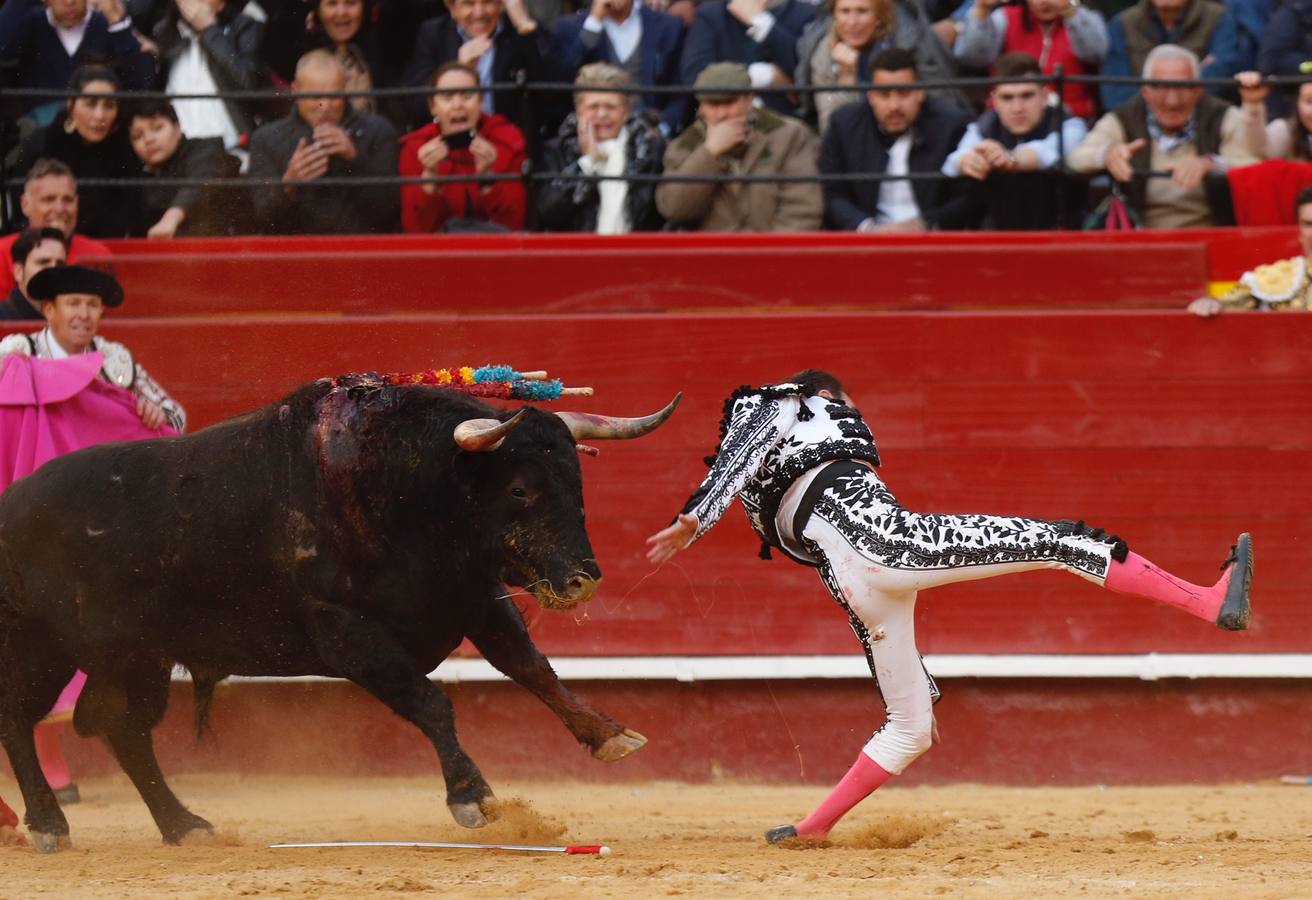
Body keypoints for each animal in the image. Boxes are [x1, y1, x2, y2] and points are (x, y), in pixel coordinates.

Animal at [0, 377, 682, 855]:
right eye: (519, 488)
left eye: (576, 481)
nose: (582, 579)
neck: (400, 482)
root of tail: (13, 500)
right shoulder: (346, 634)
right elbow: (431, 702)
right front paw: (474, 798)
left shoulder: (471, 596)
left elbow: (533, 668)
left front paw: (609, 734)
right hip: (38, 648)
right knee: (20, 717)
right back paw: (50, 824)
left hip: (136, 659)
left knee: (122, 728)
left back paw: (185, 825)